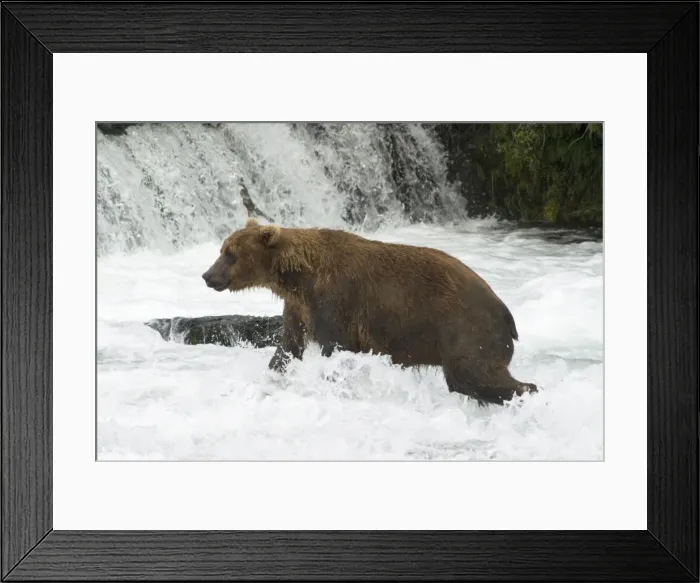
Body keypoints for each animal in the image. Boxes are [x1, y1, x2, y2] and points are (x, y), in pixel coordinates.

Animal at [202, 217, 538, 406]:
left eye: (230, 254)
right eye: (222, 250)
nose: (207, 275)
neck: (298, 277)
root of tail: (505, 311)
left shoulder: (334, 300)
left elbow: (336, 348)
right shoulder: (299, 308)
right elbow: (288, 347)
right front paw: (272, 378)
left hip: (465, 325)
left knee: (472, 373)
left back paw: (526, 392)